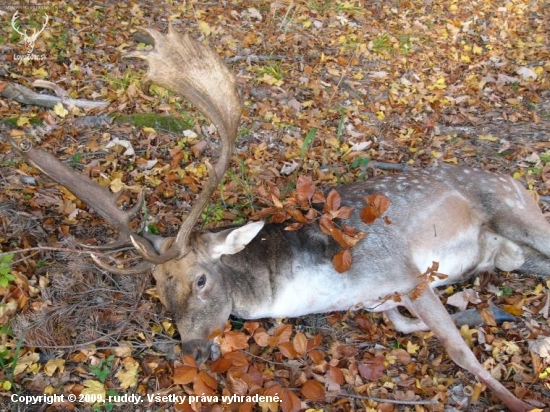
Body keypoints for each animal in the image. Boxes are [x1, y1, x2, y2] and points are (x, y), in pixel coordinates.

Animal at [8, 27, 548, 410]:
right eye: (157, 287)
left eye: (202, 279)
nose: (191, 351)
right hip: (511, 254)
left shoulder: (403, 271)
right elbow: (405, 324)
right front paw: (474, 311)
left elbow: (459, 353)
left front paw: (518, 402)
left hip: (516, 213)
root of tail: (520, 183)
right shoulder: (389, 296)